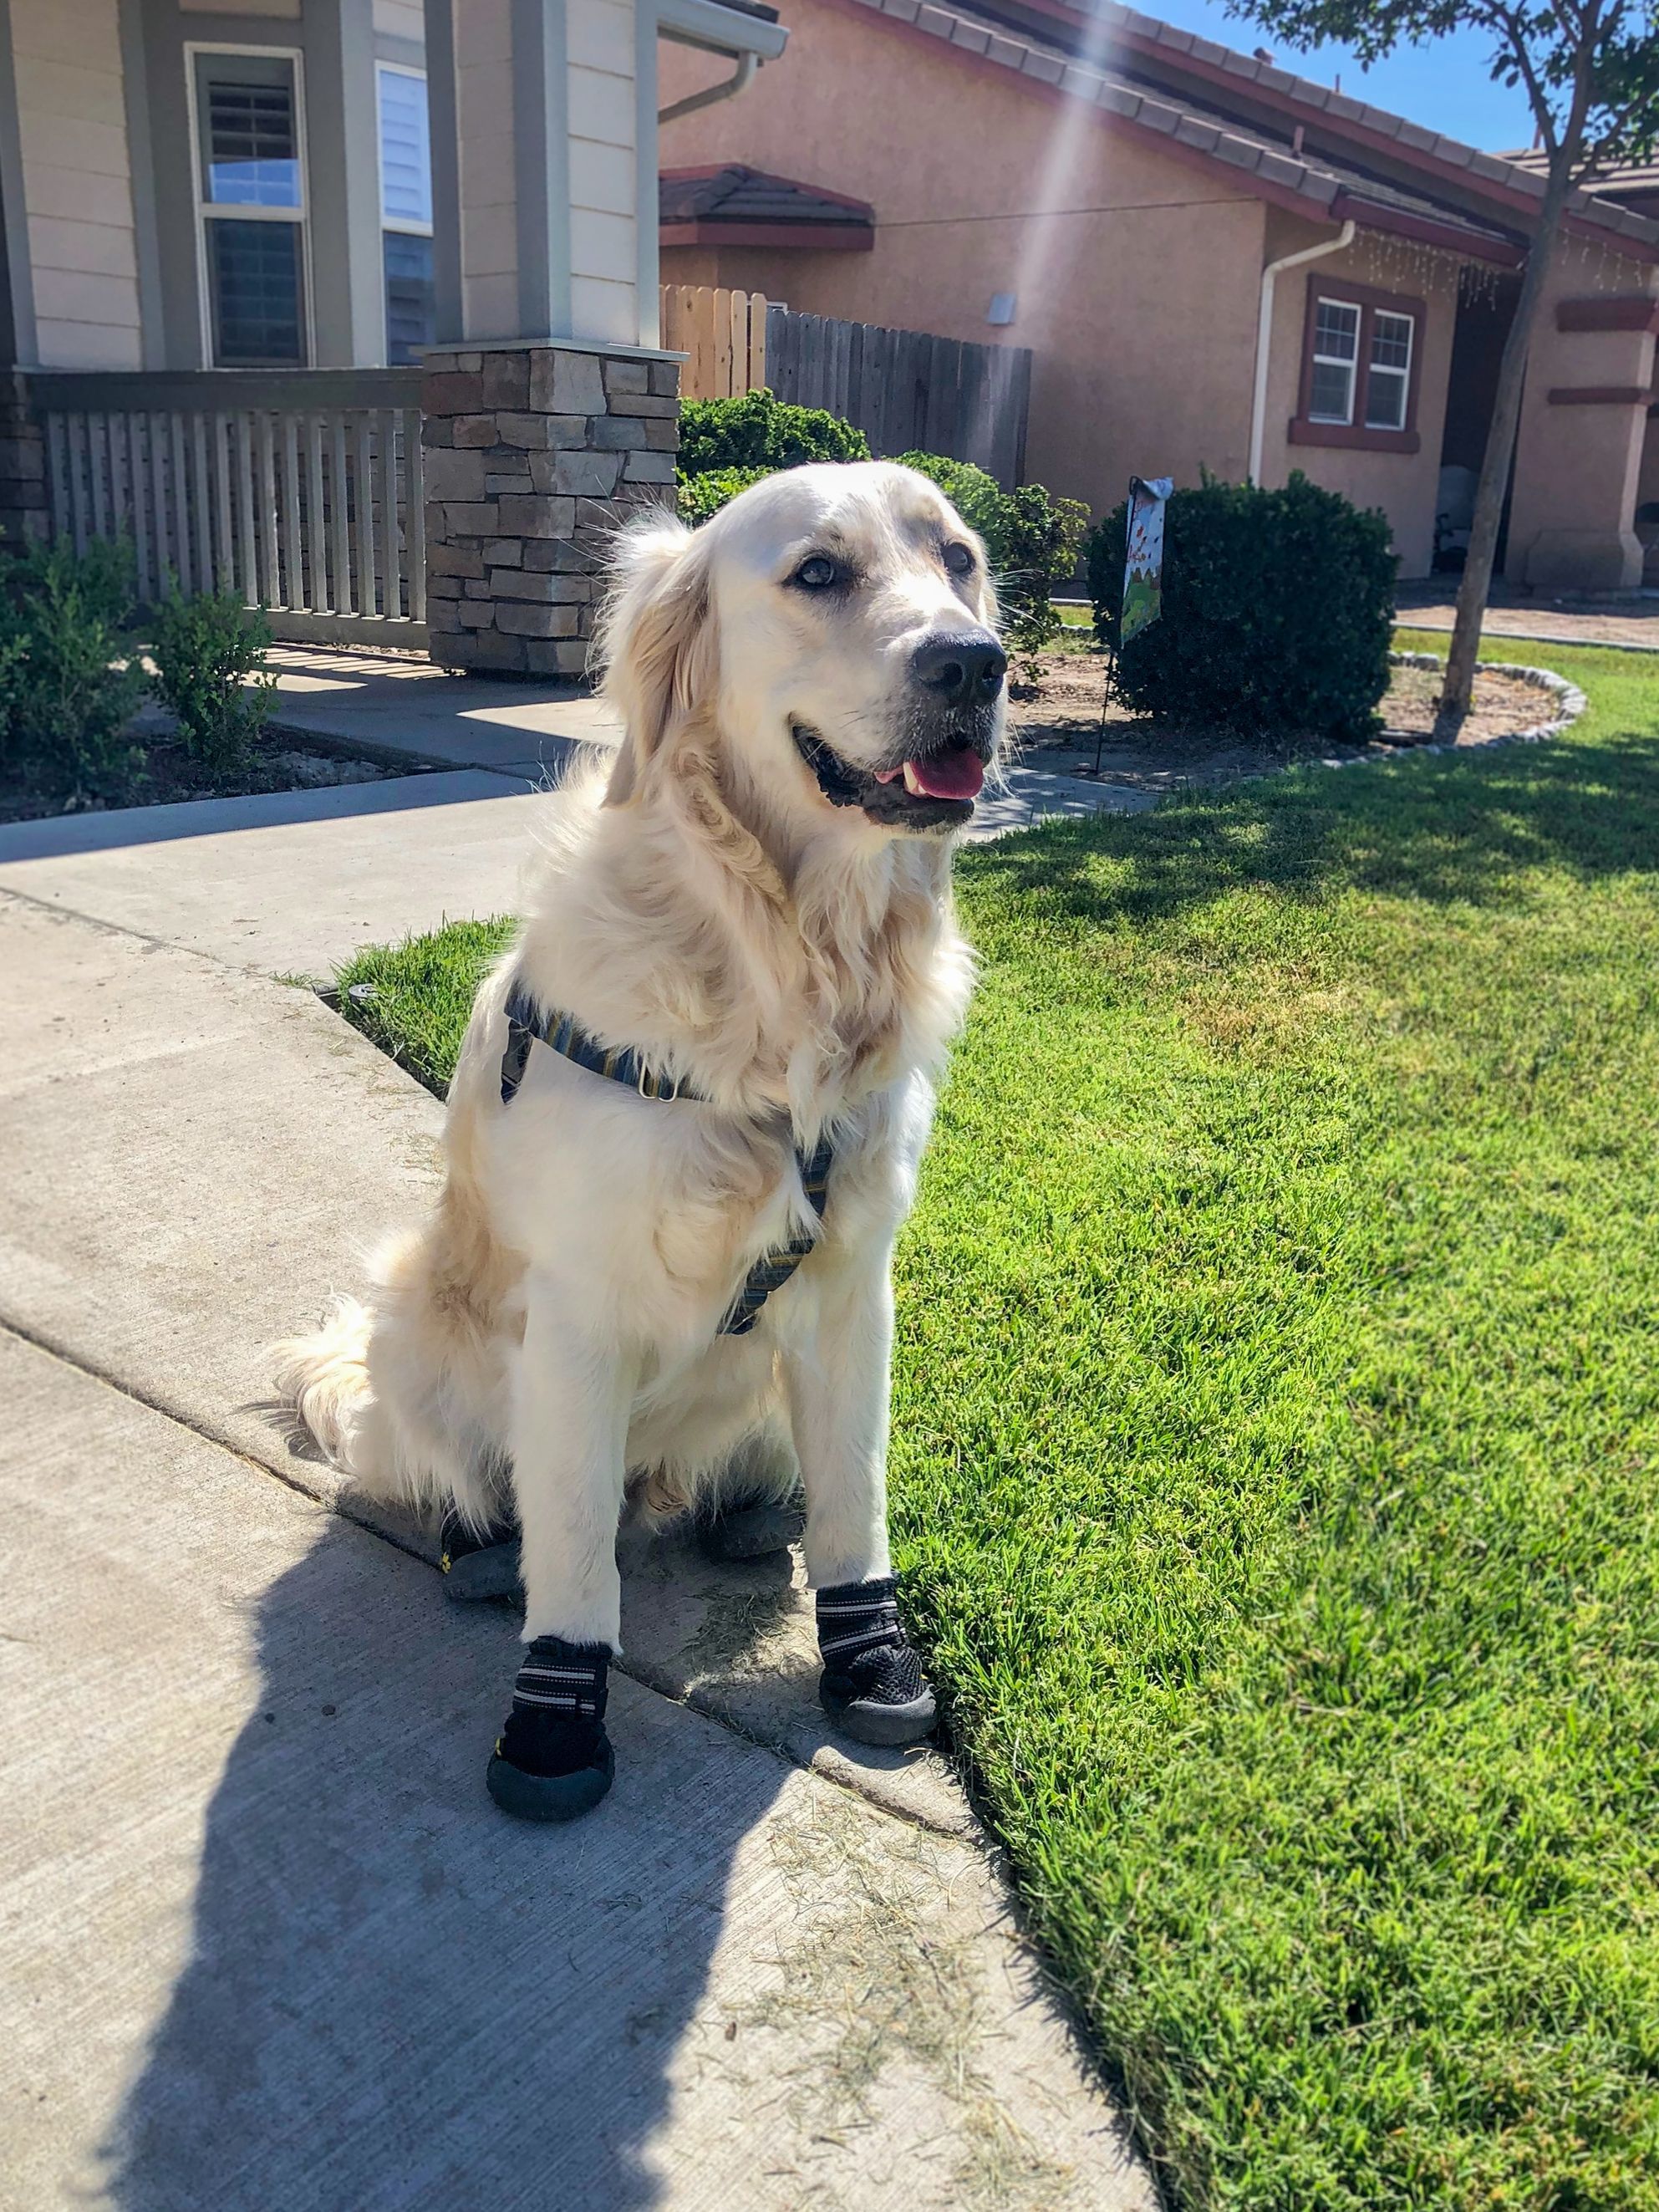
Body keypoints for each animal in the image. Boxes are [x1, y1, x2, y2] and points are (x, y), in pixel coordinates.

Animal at [277, 462, 1008, 1813]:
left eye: (959, 560)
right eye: (818, 572)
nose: (974, 663)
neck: (783, 956)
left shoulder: (852, 1287)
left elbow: (856, 1498)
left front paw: (867, 1654)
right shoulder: (574, 1311)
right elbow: (573, 1548)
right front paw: (556, 1713)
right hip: (417, 1328)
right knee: (480, 1477)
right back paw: (480, 1541)